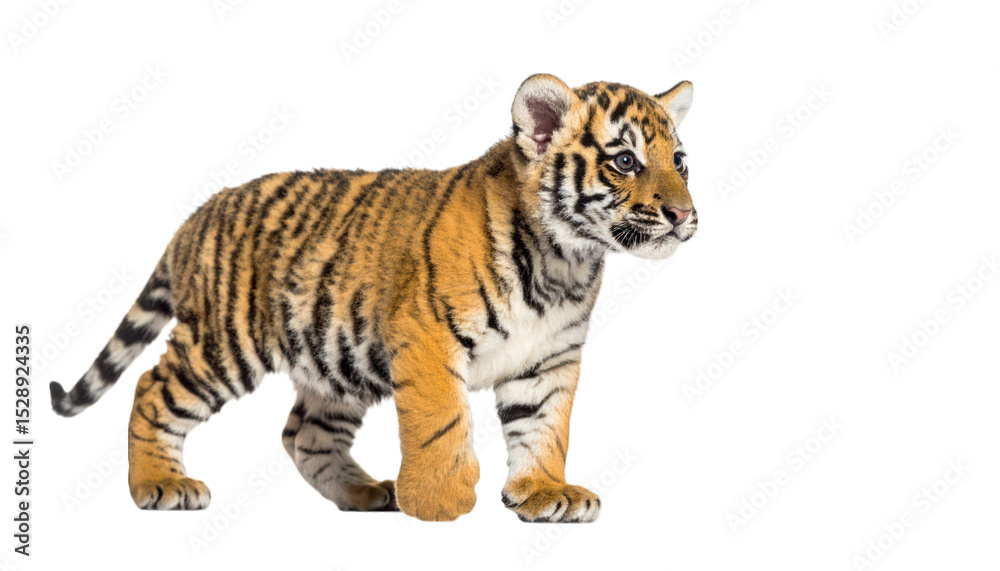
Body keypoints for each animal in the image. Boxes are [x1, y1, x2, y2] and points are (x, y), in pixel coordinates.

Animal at [50, 73, 698, 522]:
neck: (566, 260)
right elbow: (441, 425)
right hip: (225, 342)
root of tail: (197, 214)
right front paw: (439, 502)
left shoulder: (549, 360)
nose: (684, 214)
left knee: (303, 433)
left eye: (680, 162)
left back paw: (365, 492)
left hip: (334, 361)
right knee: (152, 387)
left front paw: (544, 493)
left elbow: (544, 429)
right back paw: (159, 485)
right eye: (625, 160)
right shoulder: (429, 339)